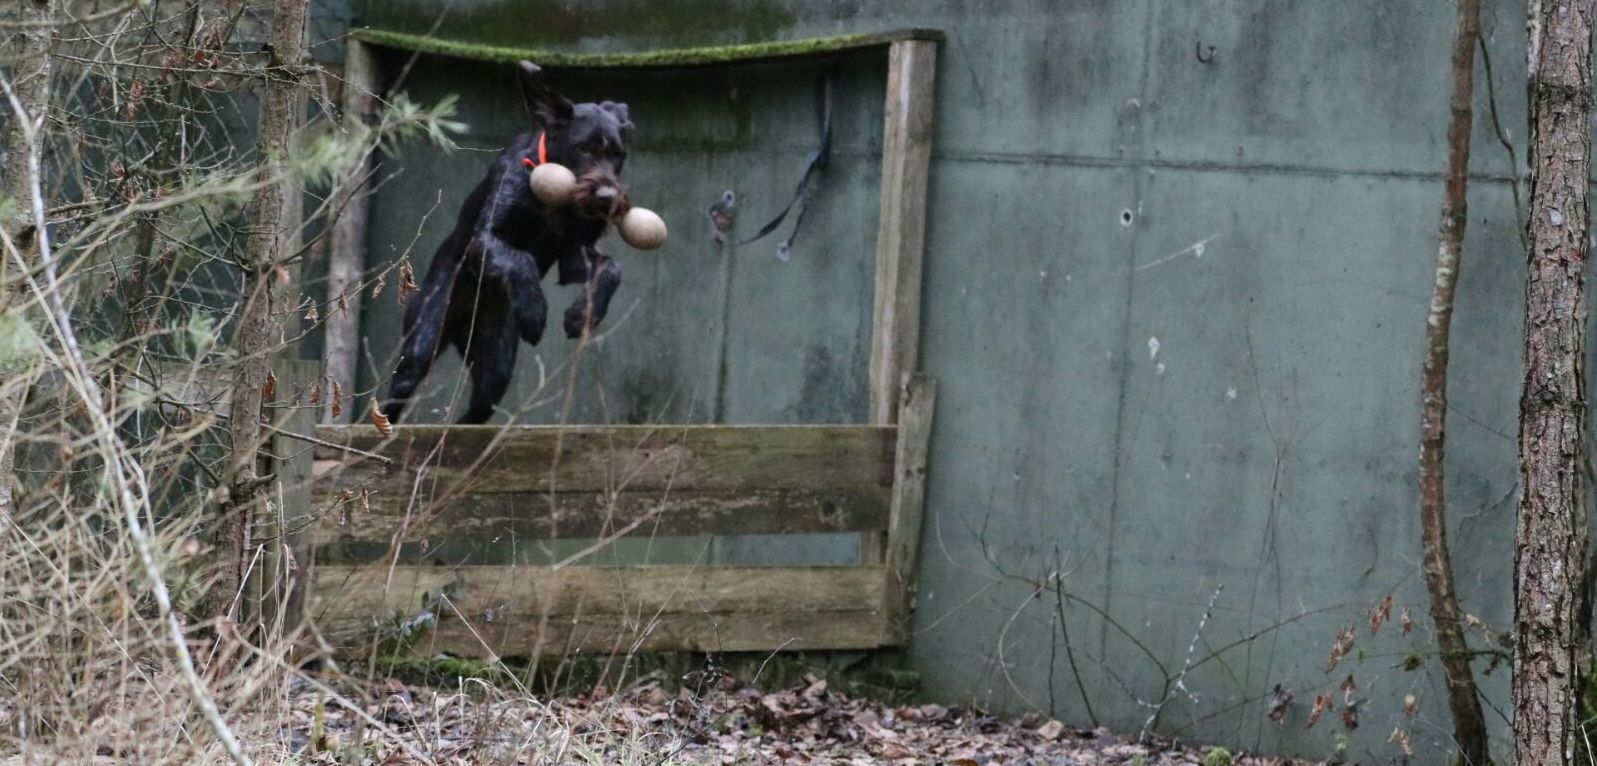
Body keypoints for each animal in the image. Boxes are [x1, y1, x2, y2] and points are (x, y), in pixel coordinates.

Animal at [384, 61, 629, 424]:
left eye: (618, 155)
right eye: (584, 148)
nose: (607, 198)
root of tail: (462, 324)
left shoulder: (574, 256)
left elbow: (612, 269)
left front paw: (583, 314)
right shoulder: (483, 239)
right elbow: (519, 259)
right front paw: (534, 311)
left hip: (496, 366)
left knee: (477, 409)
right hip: (420, 345)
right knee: (395, 394)